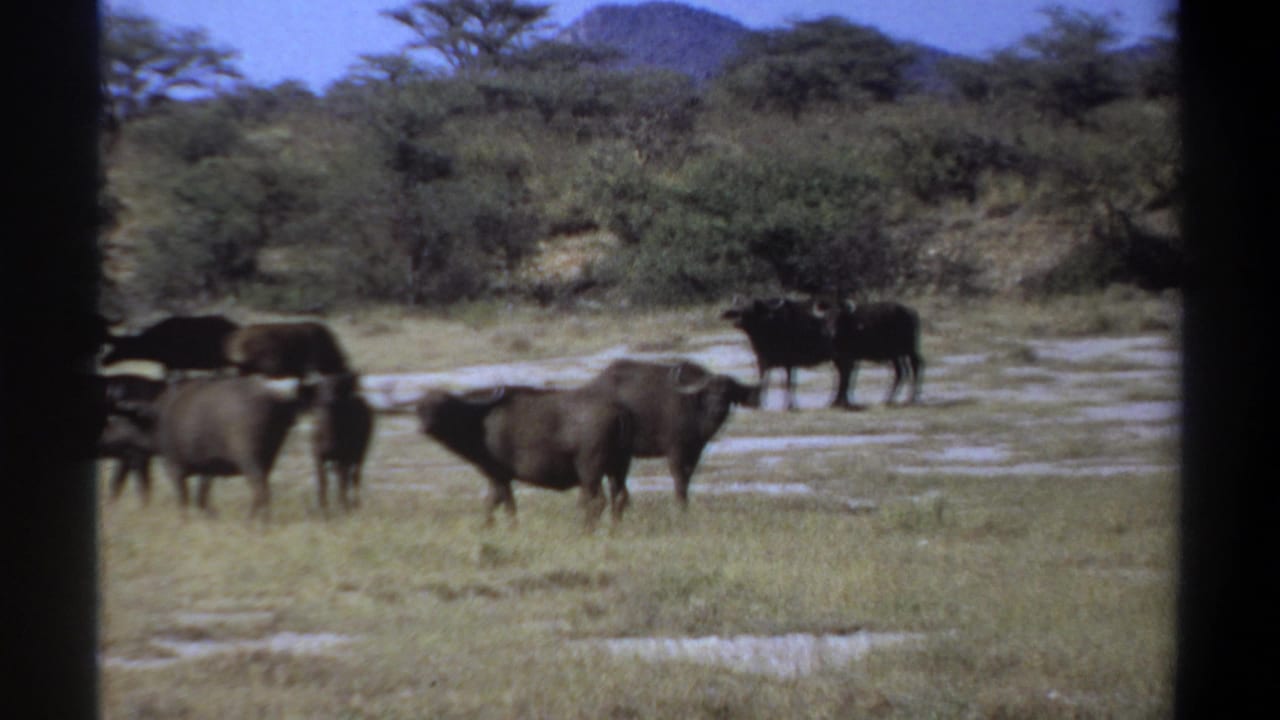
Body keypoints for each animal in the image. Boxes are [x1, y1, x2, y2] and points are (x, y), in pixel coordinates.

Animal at [311, 373, 374, 513]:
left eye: (337, 387)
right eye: (322, 387)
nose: (330, 400)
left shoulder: (345, 457)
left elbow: (343, 481)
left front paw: (343, 505)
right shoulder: (318, 456)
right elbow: (323, 481)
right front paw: (322, 506)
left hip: (360, 453)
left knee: (355, 476)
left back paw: (355, 503)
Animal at [415, 385, 634, 530]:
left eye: (444, 406)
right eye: (420, 408)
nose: (425, 427)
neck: (480, 421)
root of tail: (617, 412)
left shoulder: (500, 476)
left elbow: (506, 504)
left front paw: (509, 528)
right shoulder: (495, 478)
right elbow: (492, 502)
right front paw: (488, 527)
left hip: (590, 470)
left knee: (597, 500)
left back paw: (586, 529)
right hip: (619, 468)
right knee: (620, 497)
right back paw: (614, 529)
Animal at [581, 359, 759, 506]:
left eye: (729, 393)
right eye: (708, 392)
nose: (719, 408)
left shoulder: (695, 452)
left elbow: (687, 479)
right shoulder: (675, 450)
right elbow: (679, 480)